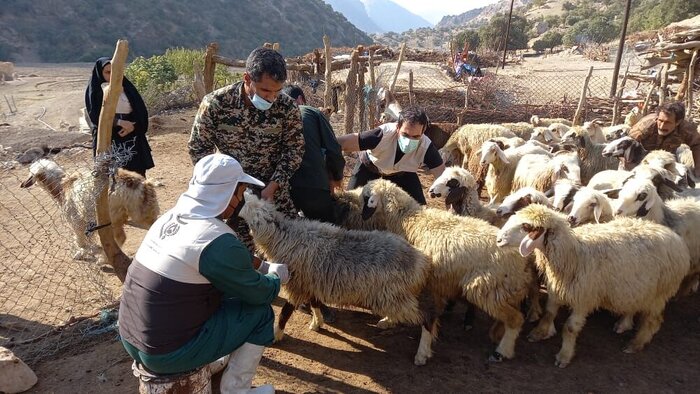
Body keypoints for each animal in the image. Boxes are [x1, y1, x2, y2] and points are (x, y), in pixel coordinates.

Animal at [21, 159, 161, 260]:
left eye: (30, 173)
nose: (22, 184)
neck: (61, 186)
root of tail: (141, 184)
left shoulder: (77, 221)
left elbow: (81, 241)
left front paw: (84, 252)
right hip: (143, 213)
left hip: (113, 217)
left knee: (120, 238)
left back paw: (103, 259)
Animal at [239, 192, 432, 350]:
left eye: (249, 205)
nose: (244, 192)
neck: (284, 237)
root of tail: (419, 261)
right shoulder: (311, 281)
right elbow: (315, 303)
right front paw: (317, 323)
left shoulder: (298, 284)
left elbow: (285, 313)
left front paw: (276, 335)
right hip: (392, 297)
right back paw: (387, 322)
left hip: (393, 295)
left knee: (426, 318)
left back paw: (422, 352)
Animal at [364, 180, 532, 364]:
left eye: (366, 198)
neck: (410, 219)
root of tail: (522, 259)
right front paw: (390, 320)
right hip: (503, 289)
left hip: (485, 288)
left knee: (515, 319)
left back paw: (501, 352)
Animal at [498, 205, 688, 368]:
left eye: (525, 226)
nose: (498, 240)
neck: (573, 254)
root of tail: (676, 239)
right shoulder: (557, 289)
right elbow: (549, 313)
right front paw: (539, 333)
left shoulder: (584, 298)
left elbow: (570, 328)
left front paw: (564, 356)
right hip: (638, 287)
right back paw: (623, 324)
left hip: (660, 292)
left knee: (653, 320)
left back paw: (636, 343)